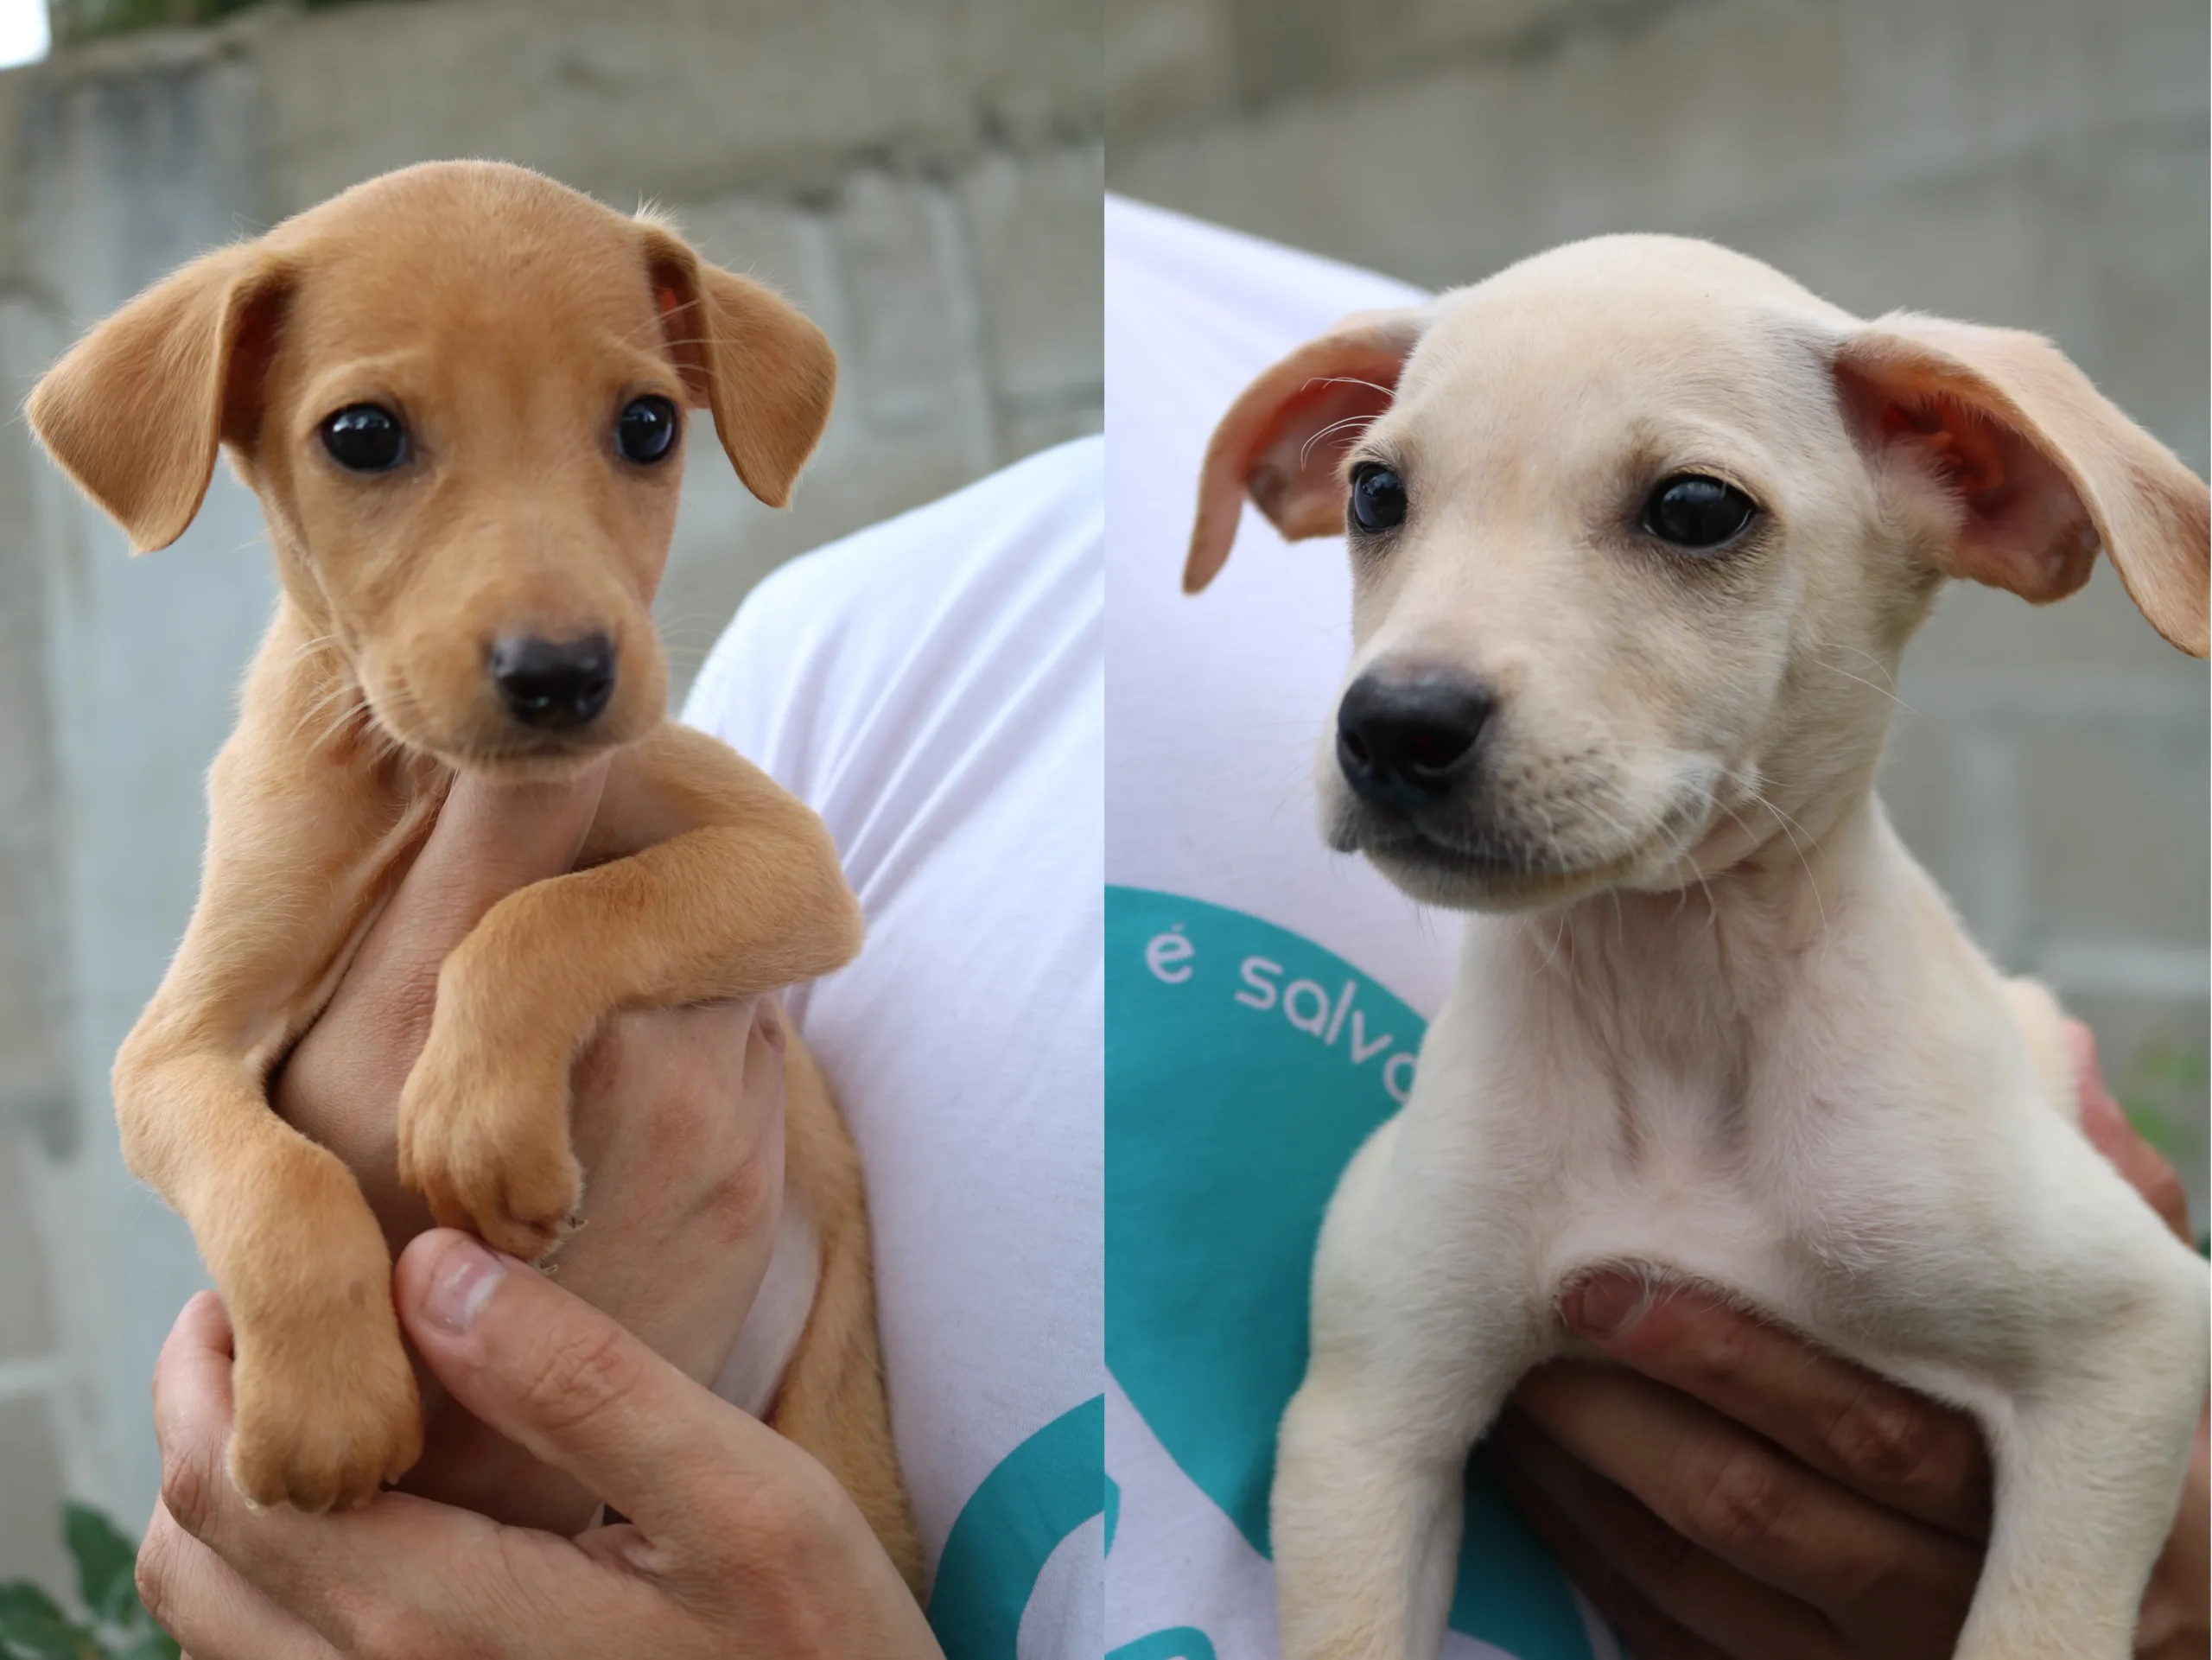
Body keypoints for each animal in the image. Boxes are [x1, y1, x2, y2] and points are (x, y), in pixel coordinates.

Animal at [21, 159, 915, 1602]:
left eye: (649, 424)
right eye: (363, 435)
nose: (561, 675)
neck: (420, 781)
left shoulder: (784, 859)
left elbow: (550, 911)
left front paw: (475, 1117)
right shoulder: (173, 1047)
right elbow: (274, 1178)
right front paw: (326, 1410)